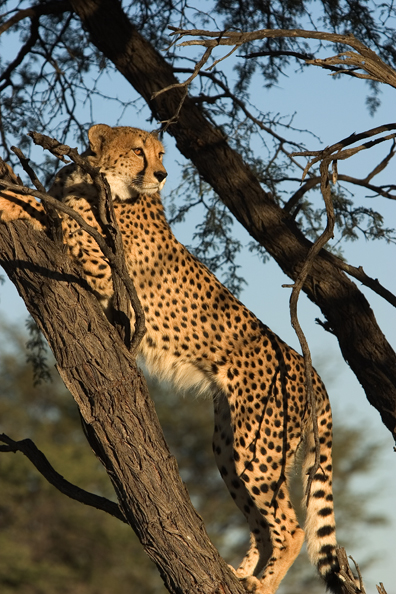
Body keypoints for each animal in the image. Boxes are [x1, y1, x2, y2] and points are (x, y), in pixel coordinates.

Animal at [0, 122, 352, 588]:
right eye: (138, 151)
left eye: (161, 153)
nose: (163, 175)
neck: (96, 181)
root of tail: (309, 369)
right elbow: (49, 205)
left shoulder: (104, 265)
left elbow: (48, 211)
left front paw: (8, 198)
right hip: (229, 446)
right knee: (262, 526)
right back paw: (238, 574)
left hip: (258, 450)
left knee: (290, 528)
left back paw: (260, 584)